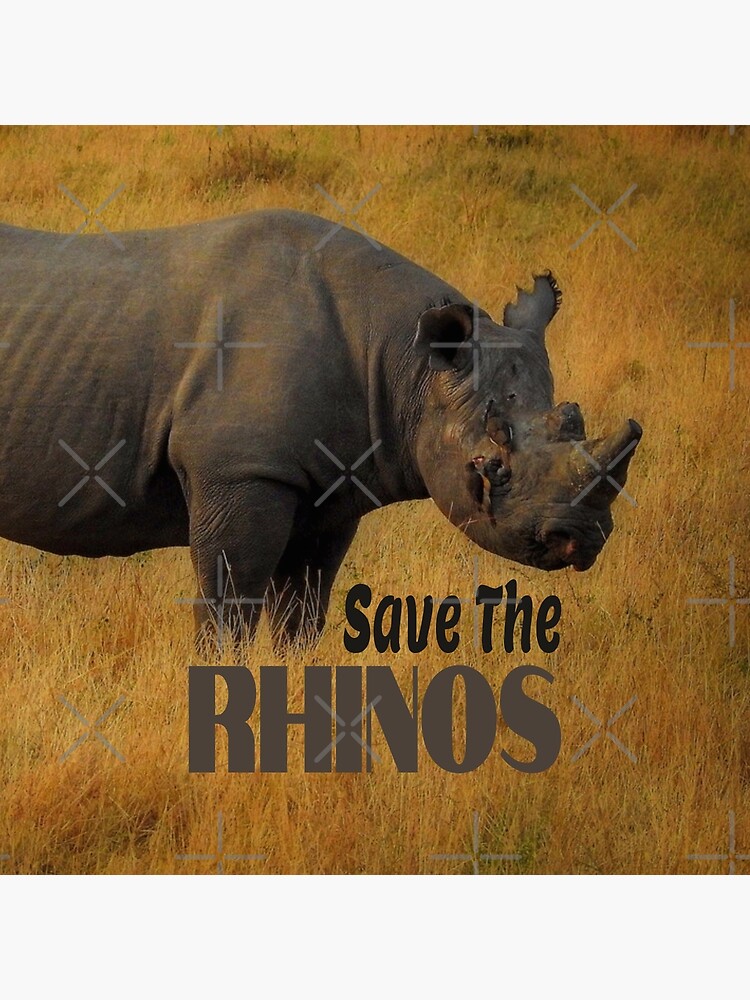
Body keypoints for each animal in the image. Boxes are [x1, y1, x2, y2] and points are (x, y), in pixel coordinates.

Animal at [0, 209, 641, 646]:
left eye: (573, 420)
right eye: (493, 465)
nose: (582, 538)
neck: (409, 364)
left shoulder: (333, 483)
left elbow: (303, 611)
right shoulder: (242, 469)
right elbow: (228, 606)